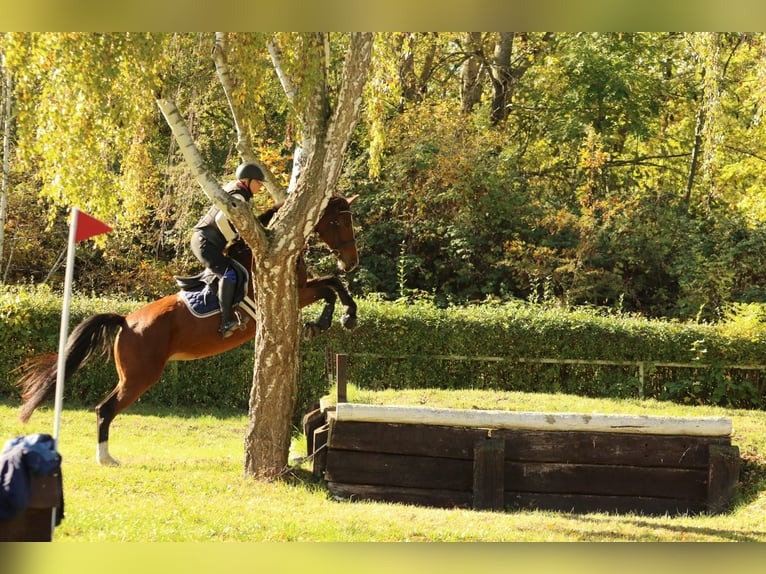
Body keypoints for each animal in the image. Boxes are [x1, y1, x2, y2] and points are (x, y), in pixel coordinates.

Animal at [16, 195, 359, 466]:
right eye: (339, 222)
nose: (351, 263)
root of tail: (126, 321)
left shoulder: (300, 288)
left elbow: (331, 284)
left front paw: (340, 318)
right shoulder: (290, 293)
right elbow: (329, 286)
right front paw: (333, 320)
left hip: (133, 375)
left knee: (105, 407)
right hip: (139, 376)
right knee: (105, 408)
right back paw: (106, 458)